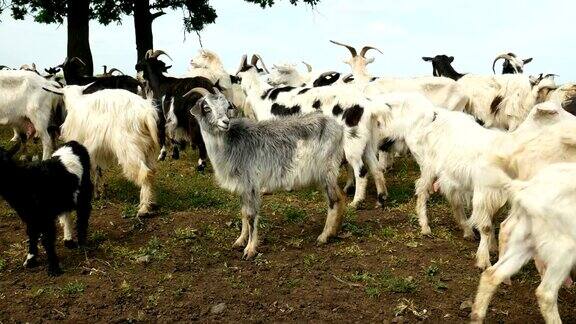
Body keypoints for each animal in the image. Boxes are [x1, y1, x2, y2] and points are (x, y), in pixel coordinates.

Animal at [0, 140, 93, 274]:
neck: (24, 183)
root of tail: (73, 143)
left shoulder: (45, 216)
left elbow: (47, 238)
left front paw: (54, 268)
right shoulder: (30, 216)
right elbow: (32, 234)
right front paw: (31, 259)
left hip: (83, 192)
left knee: (83, 216)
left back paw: (82, 244)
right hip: (65, 197)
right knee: (67, 214)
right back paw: (68, 240)